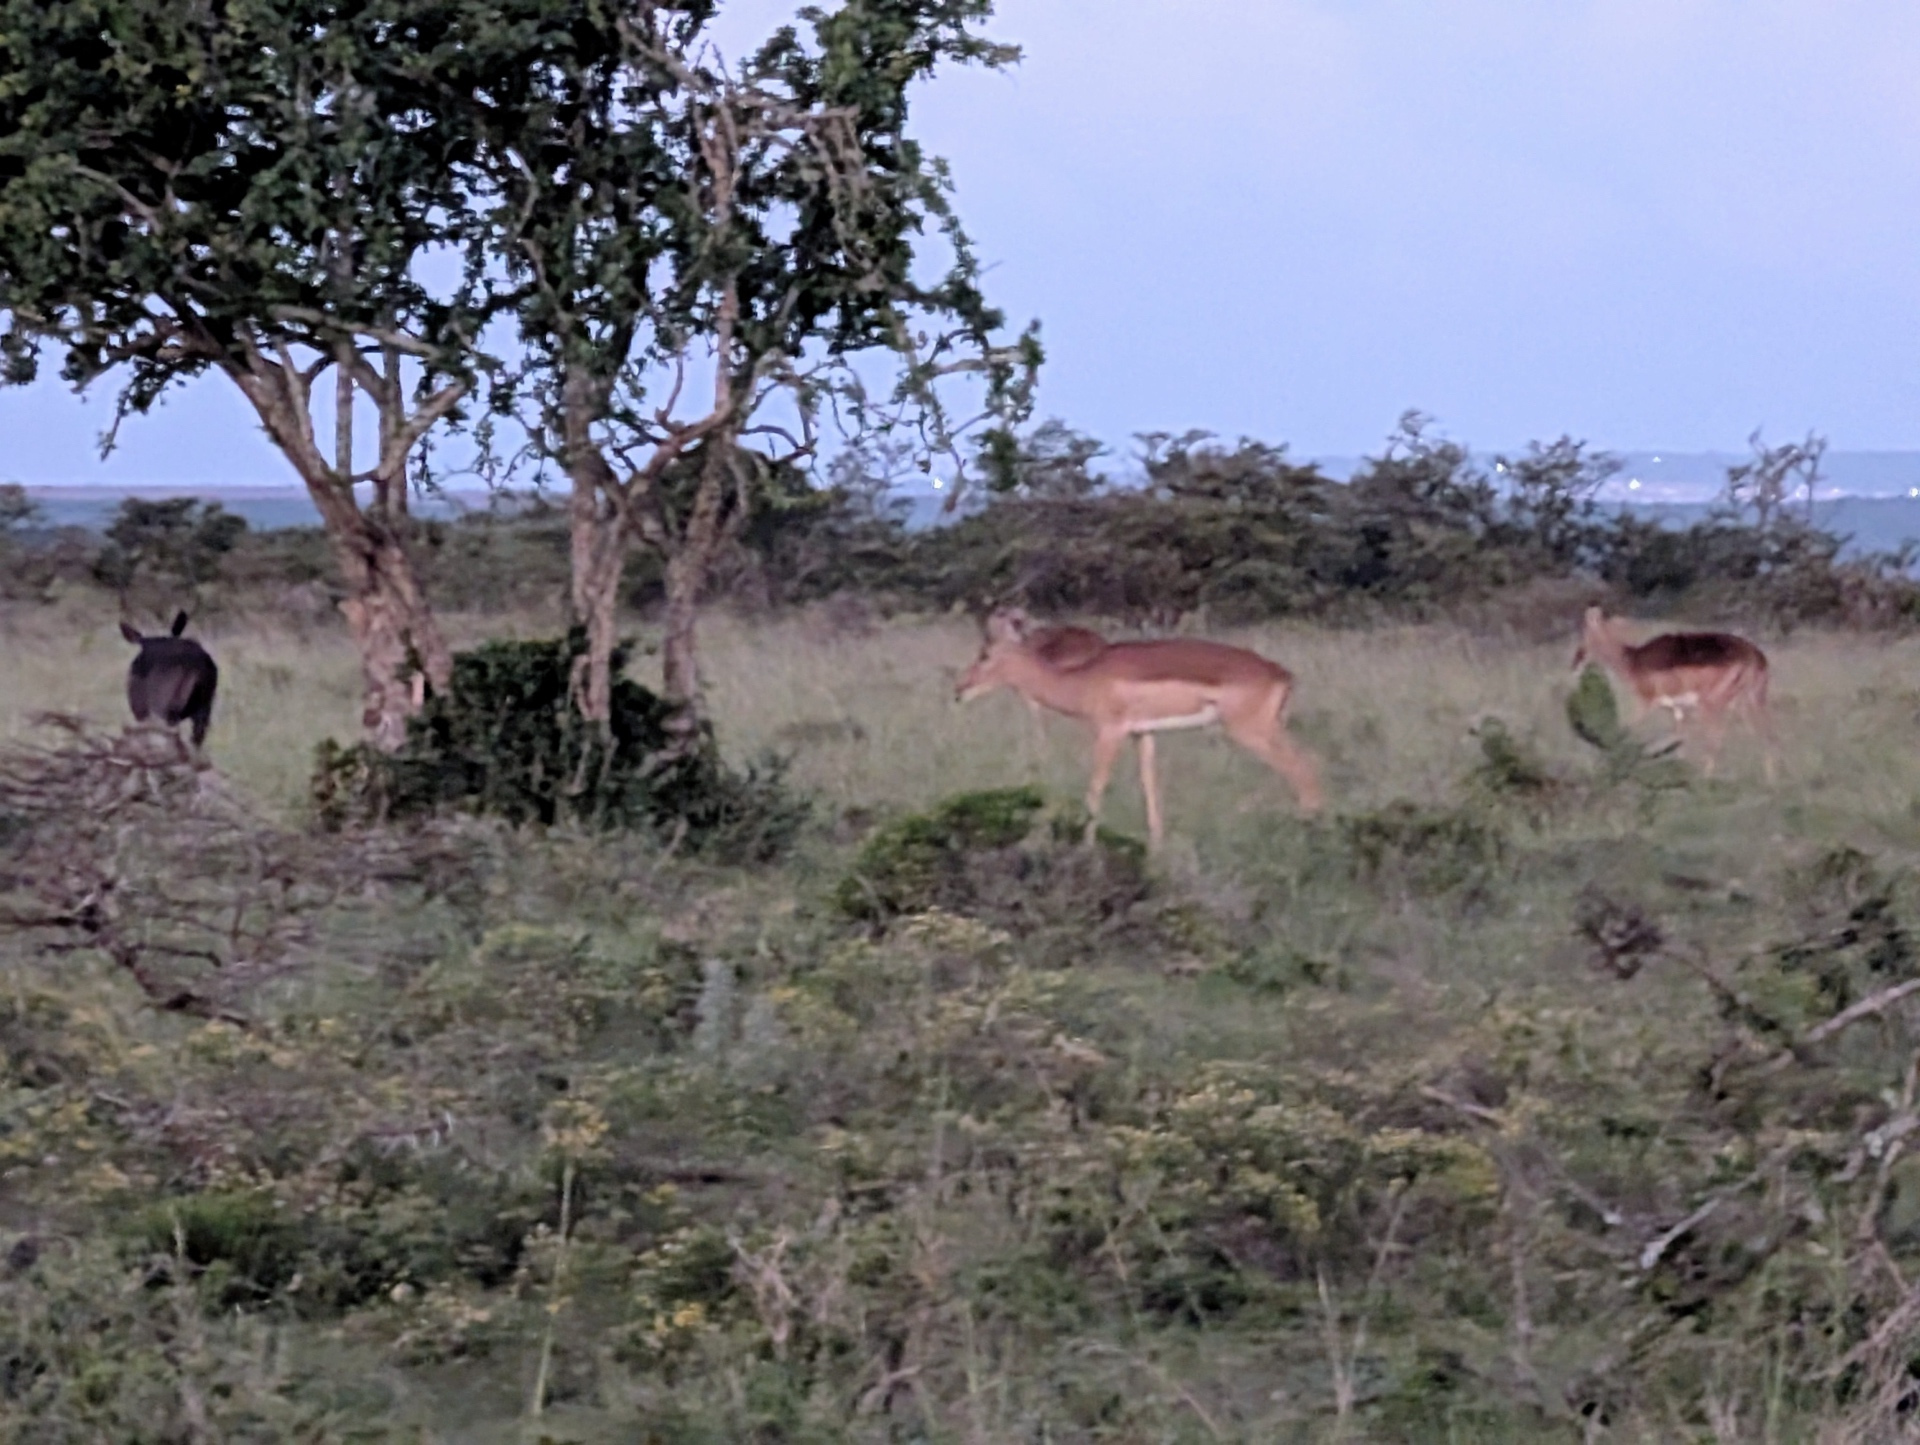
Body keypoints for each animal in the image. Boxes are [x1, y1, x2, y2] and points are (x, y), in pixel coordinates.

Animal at [956, 608, 1322, 848]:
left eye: (986, 653)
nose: (960, 690)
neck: (1082, 679)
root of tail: (1282, 674)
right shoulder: (1142, 734)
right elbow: (1150, 786)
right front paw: (1157, 850)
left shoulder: (1109, 732)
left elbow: (1095, 788)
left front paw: (1086, 850)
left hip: (1251, 731)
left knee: (1305, 773)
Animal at [1571, 605, 1776, 780]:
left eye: (1584, 633)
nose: (1575, 662)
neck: (1633, 661)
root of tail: (1753, 656)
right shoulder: (1678, 710)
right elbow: (1680, 743)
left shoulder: (1646, 703)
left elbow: (1625, 729)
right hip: (1751, 702)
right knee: (1766, 735)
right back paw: (1772, 784)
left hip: (1712, 705)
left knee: (1716, 740)